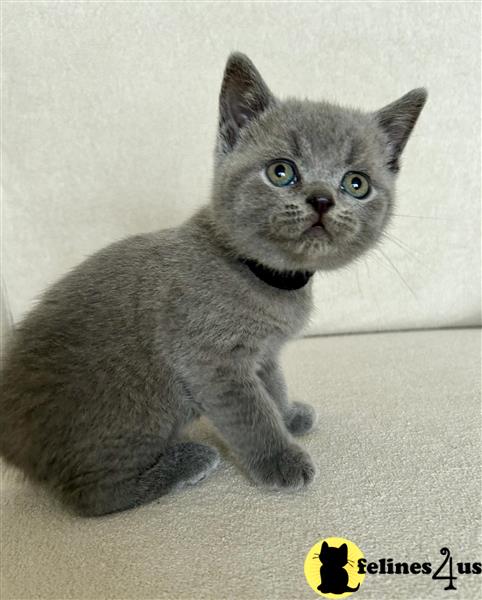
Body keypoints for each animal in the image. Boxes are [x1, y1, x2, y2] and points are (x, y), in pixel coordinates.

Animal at [1, 52, 428, 516]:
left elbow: (272, 386)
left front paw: (287, 415)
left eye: (356, 184)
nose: (321, 199)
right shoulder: (211, 360)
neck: (268, 278)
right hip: (136, 411)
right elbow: (251, 414)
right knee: (90, 496)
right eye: (282, 172)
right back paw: (188, 461)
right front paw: (281, 459)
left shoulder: (264, 352)